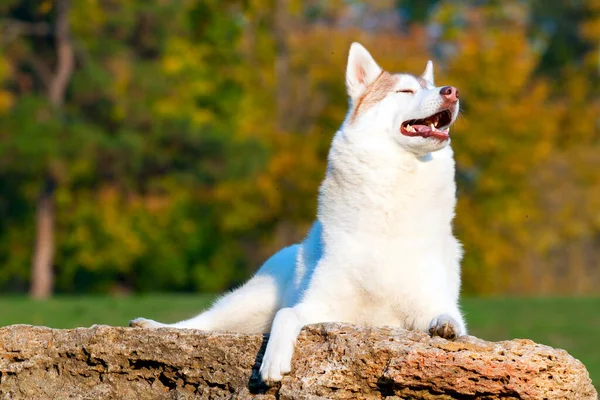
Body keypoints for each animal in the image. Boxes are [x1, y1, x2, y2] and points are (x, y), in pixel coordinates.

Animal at [132, 43, 468, 384]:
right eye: (405, 90)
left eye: (429, 86)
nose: (451, 91)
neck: (392, 192)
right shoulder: (319, 304)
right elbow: (286, 314)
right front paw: (273, 360)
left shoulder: (433, 303)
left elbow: (449, 318)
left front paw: (445, 327)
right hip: (247, 303)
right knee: (204, 322)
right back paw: (152, 327)